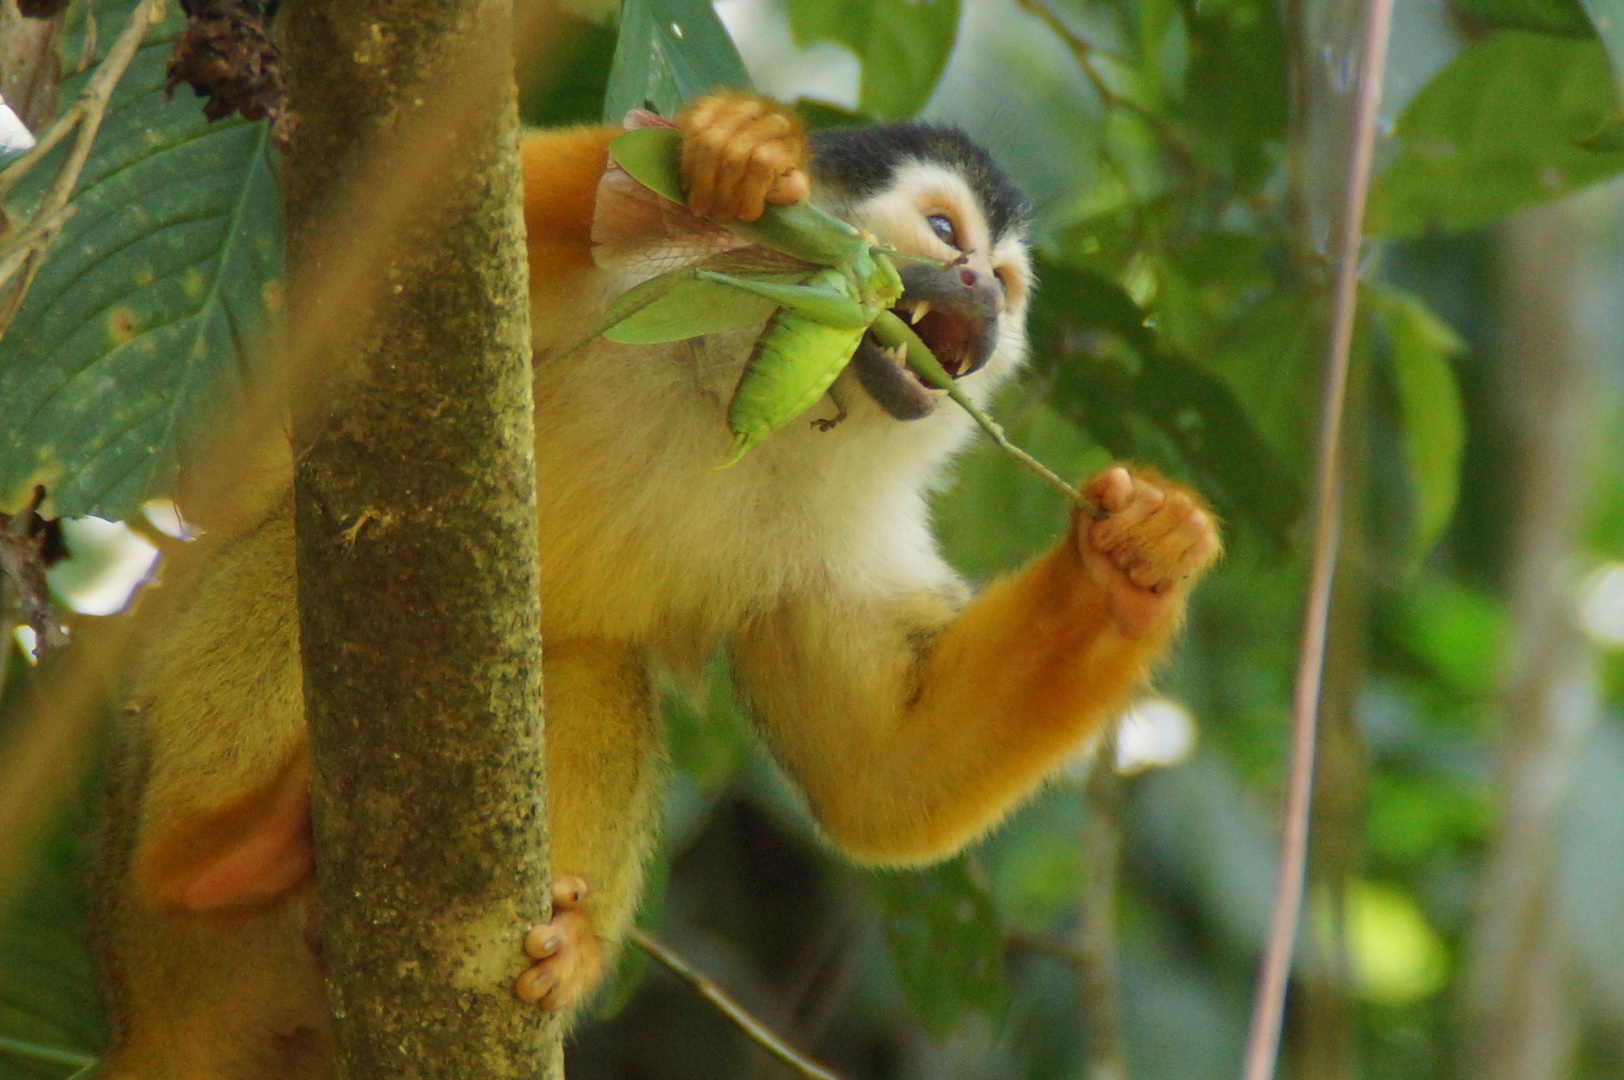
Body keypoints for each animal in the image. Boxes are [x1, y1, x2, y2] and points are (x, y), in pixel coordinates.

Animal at [88, 94, 1221, 1078]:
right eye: (945, 230)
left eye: (1006, 282)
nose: (980, 287)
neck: (754, 375)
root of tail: (140, 1011)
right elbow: (286, 356)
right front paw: (727, 160)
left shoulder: (850, 526)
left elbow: (883, 776)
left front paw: (1134, 559)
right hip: (149, 852)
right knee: (300, 551)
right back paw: (211, 854)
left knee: (584, 662)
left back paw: (550, 940)